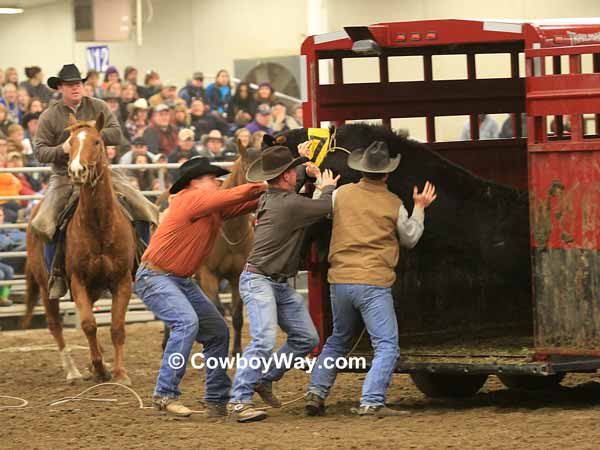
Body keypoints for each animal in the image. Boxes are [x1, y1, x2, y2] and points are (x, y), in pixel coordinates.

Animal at [24, 112, 135, 384]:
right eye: (71, 143)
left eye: (96, 141)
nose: (77, 170)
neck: (99, 226)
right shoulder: (77, 280)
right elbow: (88, 324)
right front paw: (98, 368)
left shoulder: (122, 280)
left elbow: (117, 327)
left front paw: (119, 372)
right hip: (46, 287)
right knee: (55, 325)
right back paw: (73, 371)